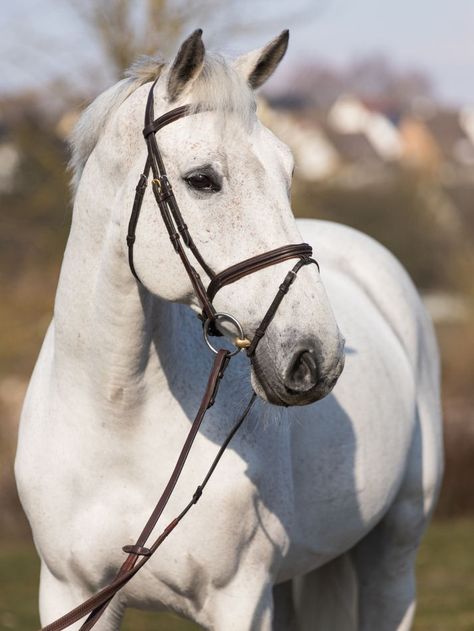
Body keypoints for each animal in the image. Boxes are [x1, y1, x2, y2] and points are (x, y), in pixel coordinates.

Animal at [15, 30, 444, 631]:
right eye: (202, 180)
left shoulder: (241, 599)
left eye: (289, 172)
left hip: (395, 546)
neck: (116, 416)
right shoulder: (69, 594)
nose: (315, 358)